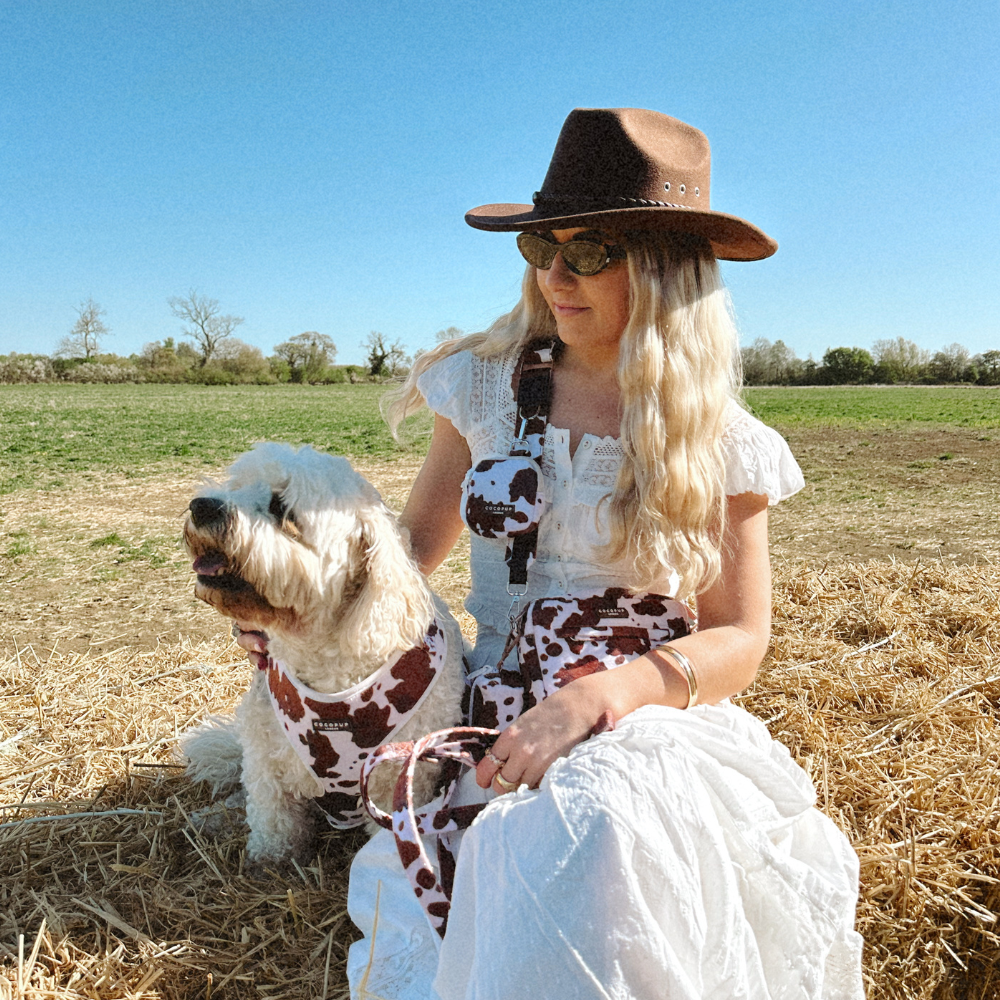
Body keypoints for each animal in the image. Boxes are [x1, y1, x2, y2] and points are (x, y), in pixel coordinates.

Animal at [179, 443, 466, 864]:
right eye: (237, 486)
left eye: (281, 507)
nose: (202, 505)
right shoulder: (264, 755)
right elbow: (270, 814)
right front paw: (269, 858)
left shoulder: (397, 778)